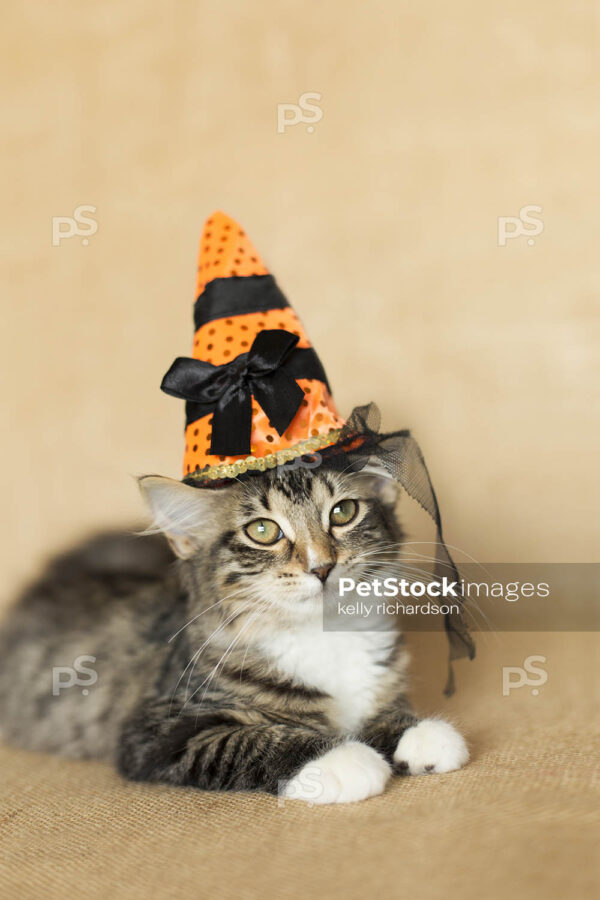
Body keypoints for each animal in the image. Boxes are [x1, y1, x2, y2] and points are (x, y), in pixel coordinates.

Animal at [0, 468, 468, 804]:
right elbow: (249, 740)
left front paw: (419, 733)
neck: (323, 636)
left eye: (342, 512)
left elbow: (387, 711)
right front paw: (341, 758)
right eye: (262, 531)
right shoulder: (155, 729)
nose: (321, 566)